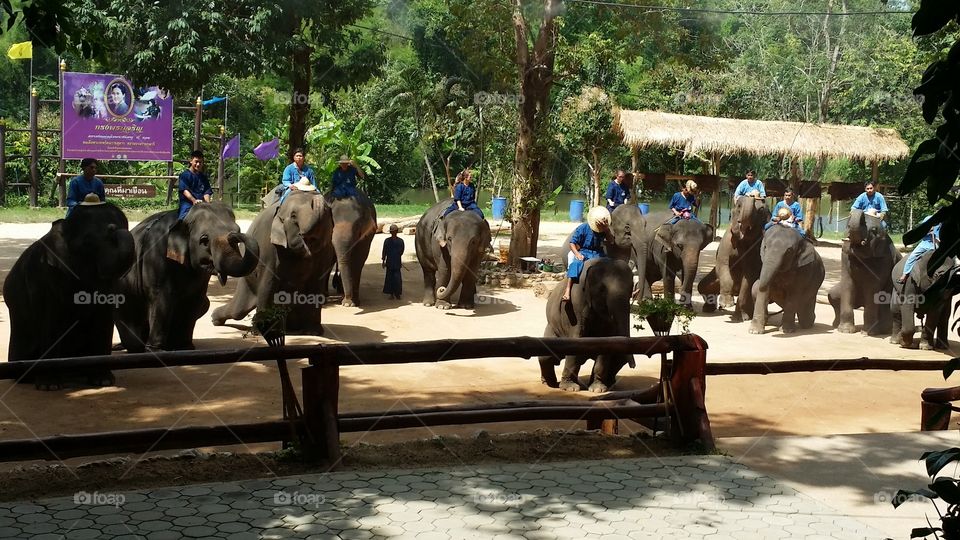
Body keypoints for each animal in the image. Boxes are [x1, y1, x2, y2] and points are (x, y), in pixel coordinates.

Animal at [3, 202, 135, 388]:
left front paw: (103, 381)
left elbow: (103, 316)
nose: (113, 229)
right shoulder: (44, 275)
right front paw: (49, 386)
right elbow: (51, 319)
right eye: (87, 243)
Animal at [115, 205, 258, 352]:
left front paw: (185, 347)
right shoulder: (156, 256)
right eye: (204, 240)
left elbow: (194, 300)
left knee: (205, 303)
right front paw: (155, 350)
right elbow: (161, 298)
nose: (235, 235)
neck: (183, 218)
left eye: (238, 229)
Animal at [211, 189, 334, 334]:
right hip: (247, 281)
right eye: (293, 216)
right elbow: (268, 283)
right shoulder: (269, 250)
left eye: (328, 212)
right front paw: (262, 332)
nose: (231, 235)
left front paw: (313, 332)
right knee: (239, 310)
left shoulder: (325, 252)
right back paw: (215, 319)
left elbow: (316, 285)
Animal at [540, 258, 636, 392]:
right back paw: (549, 383)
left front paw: (598, 389)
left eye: (631, 290)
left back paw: (609, 384)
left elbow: (607, 343)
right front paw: (570, 388)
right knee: (546, 357)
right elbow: (576, 339)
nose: (633, 366)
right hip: (552, 327)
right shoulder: (575, 304)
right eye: (602, 289)